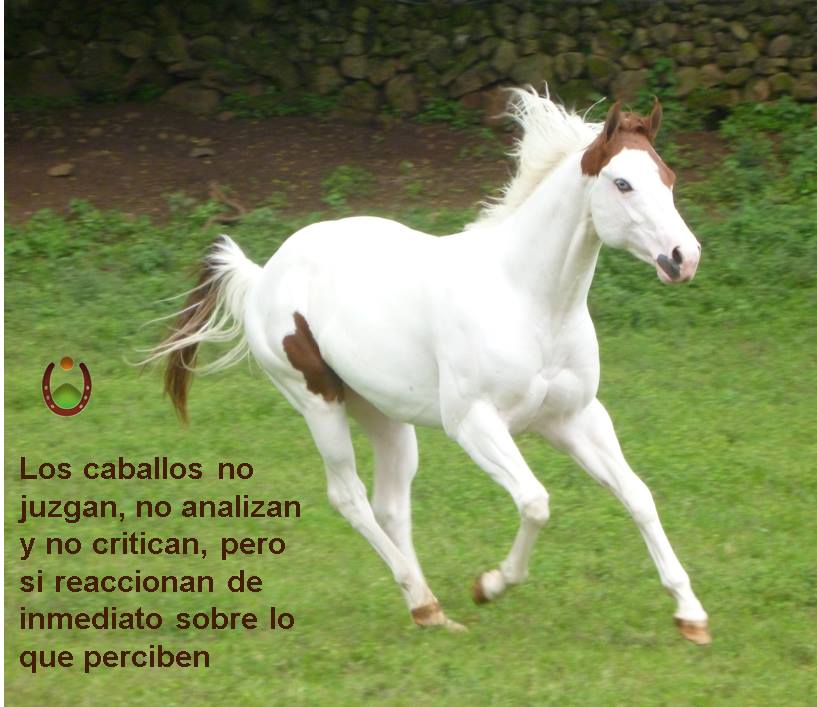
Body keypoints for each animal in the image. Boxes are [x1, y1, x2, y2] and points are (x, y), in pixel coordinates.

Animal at [145, 88, 710, 644]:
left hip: (383, 415)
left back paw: (430, 611)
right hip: (316, 400)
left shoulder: (575, 418)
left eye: (668, 177)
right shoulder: (475, 424)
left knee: (390, 504)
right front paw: (489, 585)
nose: (683, 257)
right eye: (622, 182)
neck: (527, 300)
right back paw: (423, 600)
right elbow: (535, 501)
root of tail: (263, 274)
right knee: (349, 497)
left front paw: (691, 614)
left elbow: (637, 495)